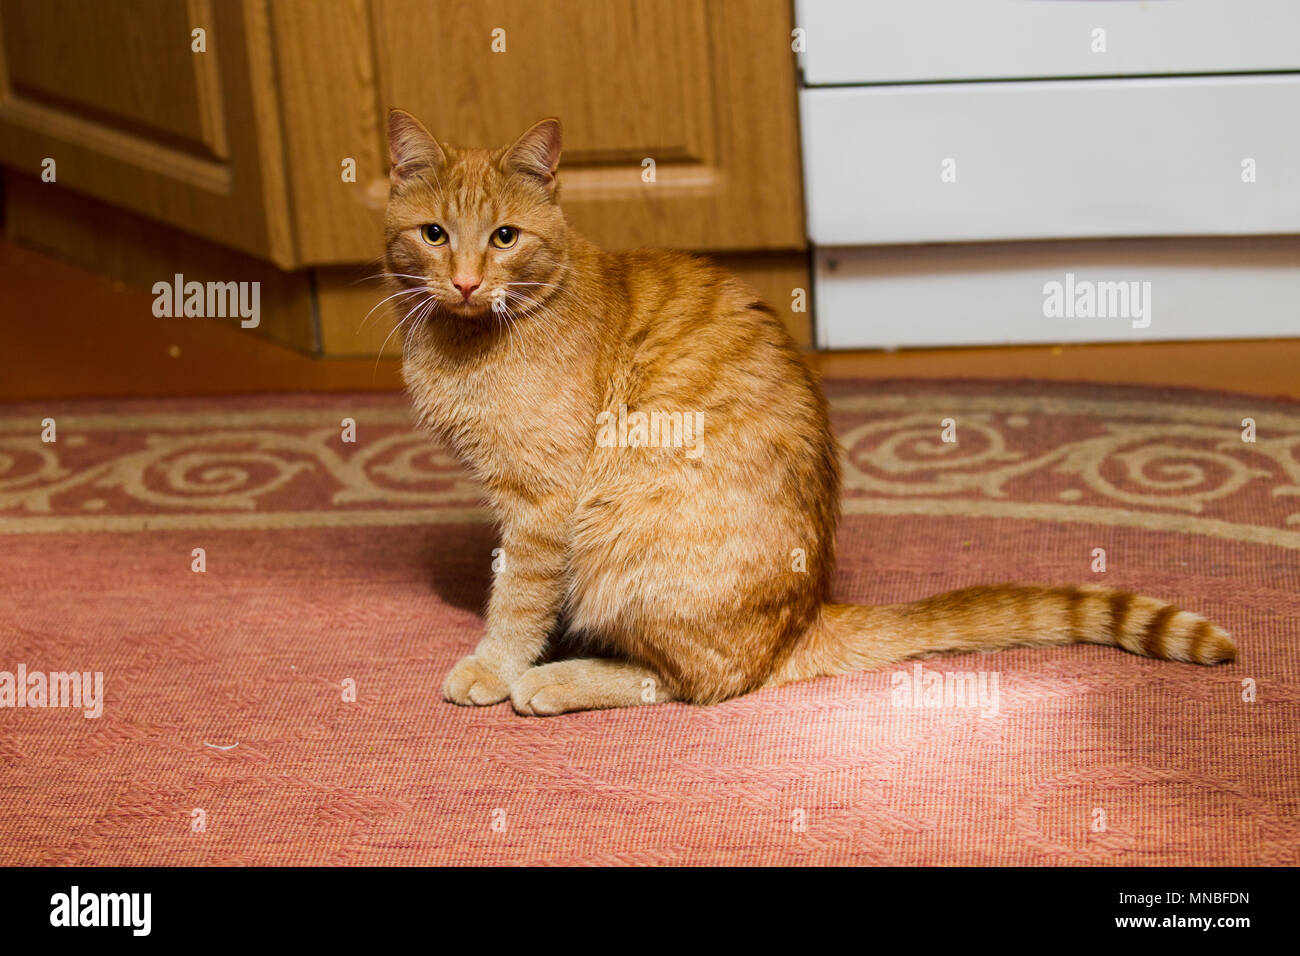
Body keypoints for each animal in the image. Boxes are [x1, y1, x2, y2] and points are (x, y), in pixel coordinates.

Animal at [384, 110, 1237, 717]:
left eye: (504, 237)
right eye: (434, 235)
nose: (465, 282)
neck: (466, 341)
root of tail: (808, 613)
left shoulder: (544, 504)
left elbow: (518, 598)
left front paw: (496, 665)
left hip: (624, 543)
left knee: (700, 681)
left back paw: (559, 680)